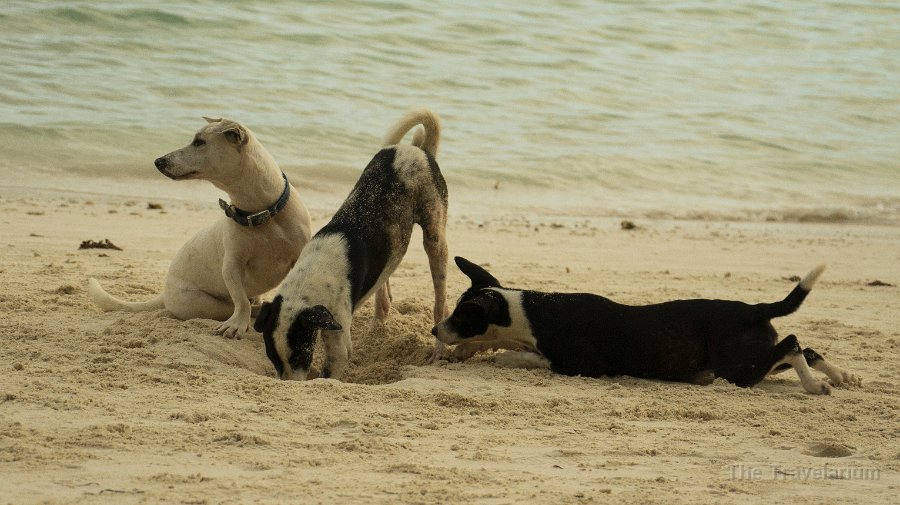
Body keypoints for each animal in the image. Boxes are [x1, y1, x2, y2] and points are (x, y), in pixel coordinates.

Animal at [88, 117, 312, 338]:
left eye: (199, 142)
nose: (158, 161)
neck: (262, 213)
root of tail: (164, 293)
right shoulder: (232, 266)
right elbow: (240, 301)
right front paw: (237, 324)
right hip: (204, 304)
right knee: (243, 307)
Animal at [253, 108, 450, 380]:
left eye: (300, 356)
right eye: (273, 358)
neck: (311, 278)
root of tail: (419, 150)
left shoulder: (338, 344)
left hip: (435, 238)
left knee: (440, 302)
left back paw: (437, 349)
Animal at [430, 256, 856, 394]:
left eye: (462, 315)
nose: (435, 331)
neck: (529, 312)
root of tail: (755, 310)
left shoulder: (586, 366)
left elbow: (519, 357)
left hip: (737, 368)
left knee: (794, 342)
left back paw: (815, 386)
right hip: (746, 359)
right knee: (804, 347)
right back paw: (842, 376)